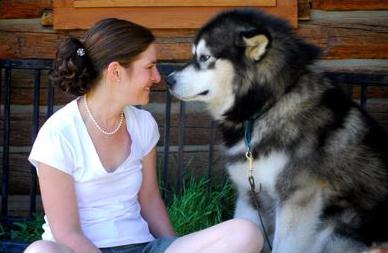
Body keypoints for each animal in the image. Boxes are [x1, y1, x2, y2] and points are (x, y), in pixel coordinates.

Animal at [167, 7, 388, 253]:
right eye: (194, 55)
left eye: (205, 58)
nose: (168, 79)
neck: (267, 106)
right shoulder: (250, 196)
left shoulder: (297, 199)